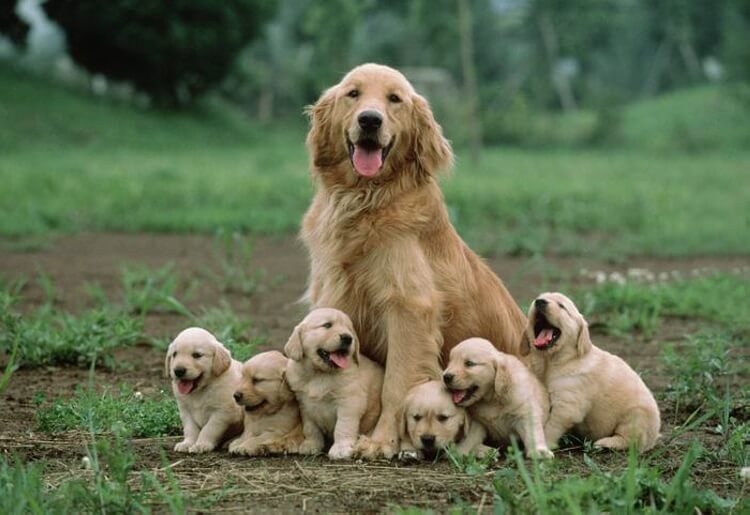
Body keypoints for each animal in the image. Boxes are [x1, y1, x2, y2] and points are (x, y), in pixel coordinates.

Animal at [284, 308, 384, 462]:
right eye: (327, 325)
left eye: (349, 329)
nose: (348, 338)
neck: (319, 374)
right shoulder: (304, 404)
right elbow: (310, 427)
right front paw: (311, 445)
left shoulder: (350, 402)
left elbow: (343, 426)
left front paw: (341, 449)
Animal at [302, 61, 524, 460]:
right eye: (353, 94)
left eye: (395, 99)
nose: (370, 120)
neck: (365, 199)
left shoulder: (408, 309)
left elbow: (397, 384)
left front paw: (381, 441)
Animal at [524, 292, 660, 454]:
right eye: (536, 299)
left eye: (562, 306)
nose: (539, 302)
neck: (552, 362)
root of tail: (655, 437)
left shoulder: (567, 404)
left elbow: (551, 427)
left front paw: (542, 445)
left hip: (636, 416)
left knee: (629, 440)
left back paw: (605, 443)